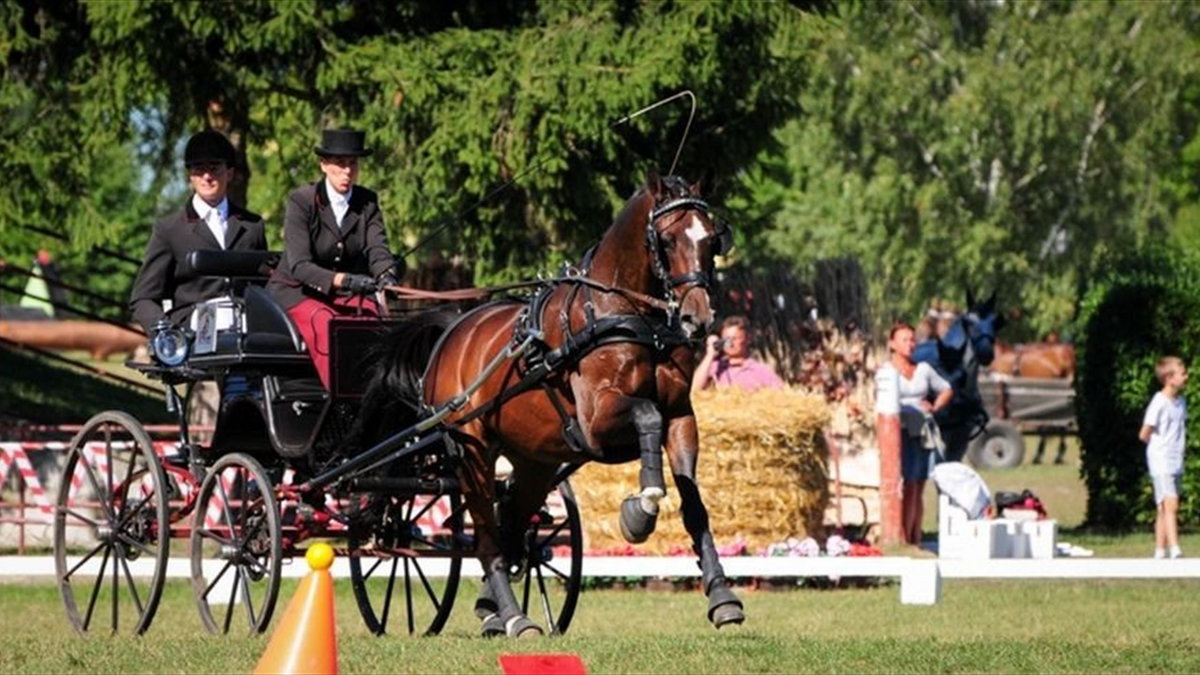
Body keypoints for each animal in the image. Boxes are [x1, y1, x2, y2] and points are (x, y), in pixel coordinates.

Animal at [360, 172, 744, 634]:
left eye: (711, 239)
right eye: (667, 239)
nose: (696, 319)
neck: (624, 316)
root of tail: (452, 331)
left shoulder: (681, 416)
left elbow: (694, 506)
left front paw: (722, 597)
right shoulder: (597, 421)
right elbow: (645, 415)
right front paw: (640, 511)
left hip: (534, 462)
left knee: (511, 526)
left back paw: (492, 610)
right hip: (472, 452)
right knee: (486, 535)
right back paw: (514, 617)